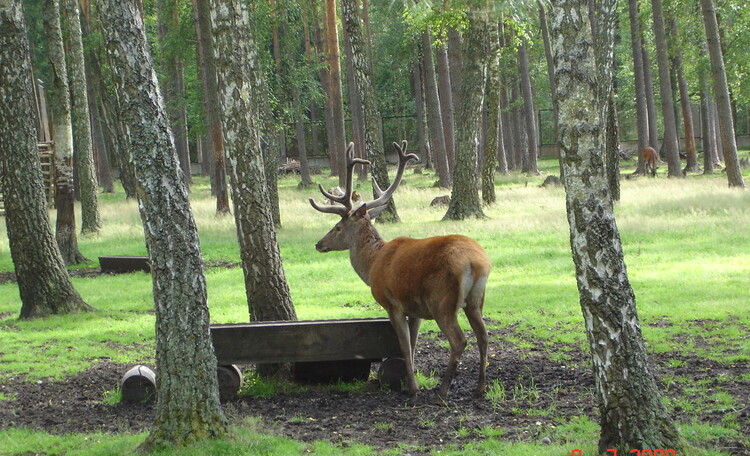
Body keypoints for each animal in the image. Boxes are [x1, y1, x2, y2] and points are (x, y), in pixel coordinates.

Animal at [312, 140, 494, 400]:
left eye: (337, 227)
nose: (319, 244)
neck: (372, 264)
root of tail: (477, 263)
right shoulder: (415, 308)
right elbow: (415, 343)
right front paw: (412, 376)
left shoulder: (392, 303)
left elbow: (405, 344)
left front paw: (412, 387)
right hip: (476, 299)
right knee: (484, 335)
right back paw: (479, 388)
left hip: (442, 300)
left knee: (459, 340)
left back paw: (443, 391)